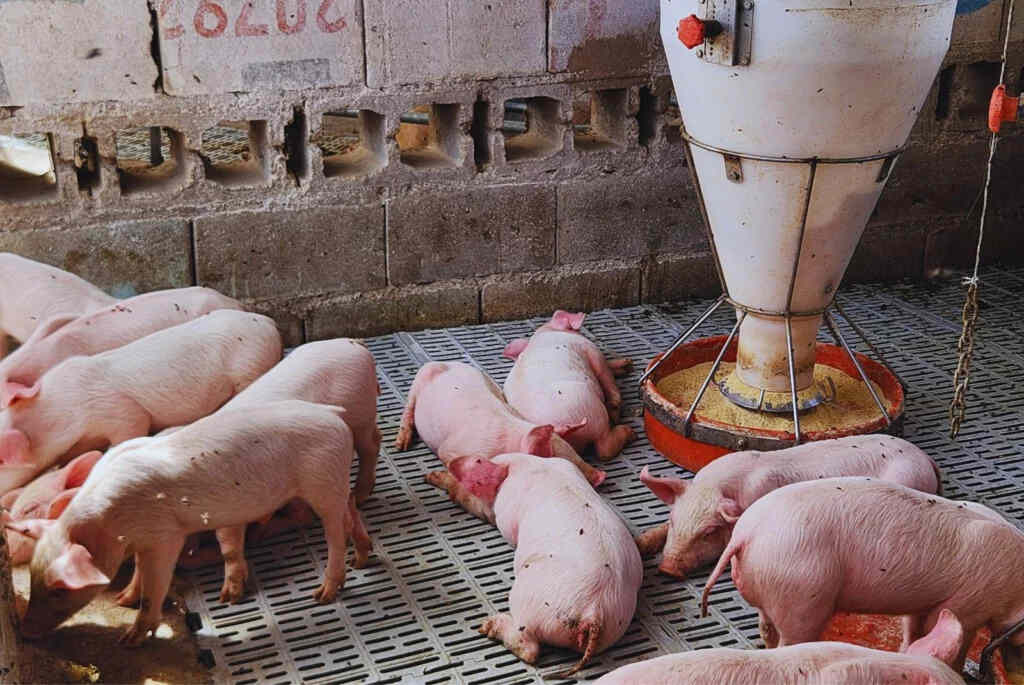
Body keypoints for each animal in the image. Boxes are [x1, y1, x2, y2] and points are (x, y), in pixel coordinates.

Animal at [11, 400, 371, 645]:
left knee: (334, 532)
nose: (25, 632)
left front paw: (128, 640)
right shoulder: (142, 539)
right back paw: (362, 557)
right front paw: (122, 599)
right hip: (334, 481)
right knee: (351, 508)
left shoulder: (165, 536)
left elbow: (155, 583)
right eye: (33, 577)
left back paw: (323, 593)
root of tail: (333, 414)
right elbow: (139, 570)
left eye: (59, 589)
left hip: (321, 482)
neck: (111, 524)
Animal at [394, 361, 606, 487]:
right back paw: (401, 446)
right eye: (562, 460)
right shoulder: (449, 450)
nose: (601, 475)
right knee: (408, 408)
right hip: (420, 377)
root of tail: (445, 362)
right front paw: (428, 477)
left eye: (574, 452)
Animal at [427, 452, 642, 676]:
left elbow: (480, 507)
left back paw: (488, 625)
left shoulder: (502, 511)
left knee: (529, 648)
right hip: (615, 622)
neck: (533, 464)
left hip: (529, 601)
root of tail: (594, 613)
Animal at [501, 311, 635, 460]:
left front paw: (627, 365)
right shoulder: (592, 351)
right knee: (604, 449)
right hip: (593, 411)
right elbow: (606, 375)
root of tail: (558, 429)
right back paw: (630, 432)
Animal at [701, 477, 1024, 664]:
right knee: (790, 641)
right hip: (801, 593)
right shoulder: (968, 603)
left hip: (771, 589)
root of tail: (747, 533)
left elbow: (913, 631)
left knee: (766, 630)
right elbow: (950, 637)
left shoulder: (925, 602)